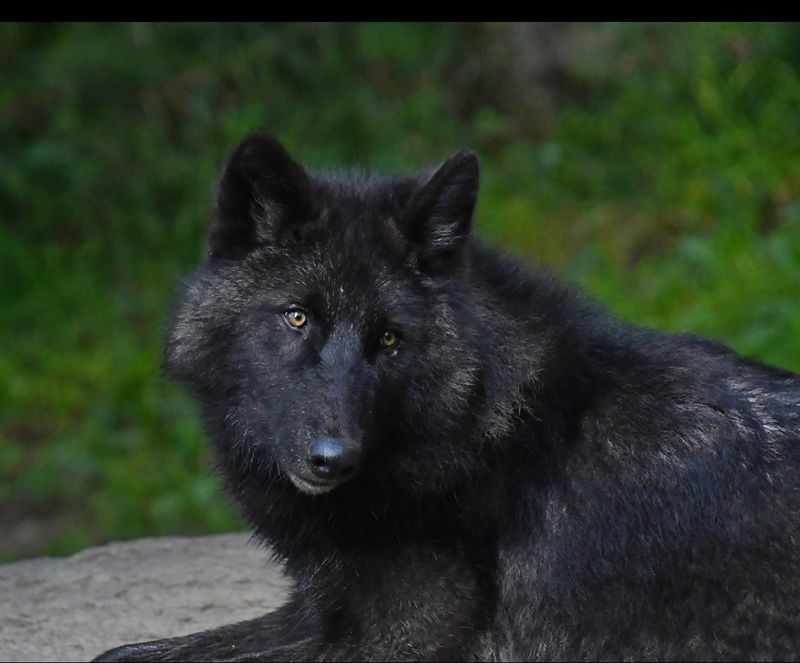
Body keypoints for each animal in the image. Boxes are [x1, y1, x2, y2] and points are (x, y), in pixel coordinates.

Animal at [95, 134, 800, 661]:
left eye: (389, 339)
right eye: (297, 317)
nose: (334, 459)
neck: (474, 420)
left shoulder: (399, 638)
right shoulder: (319, 611)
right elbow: (122, 652)